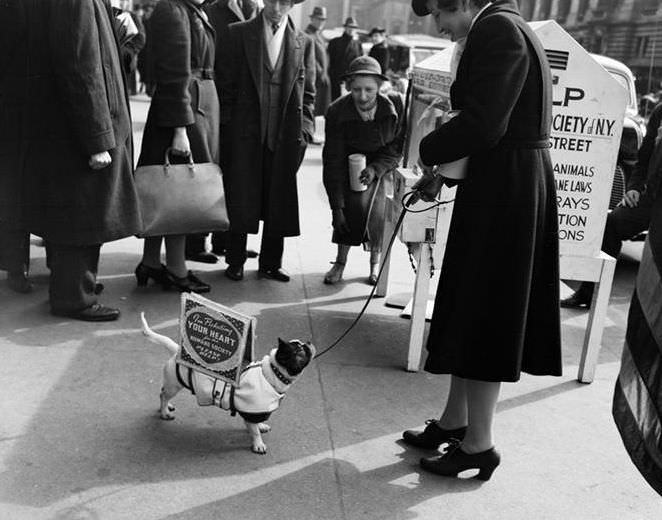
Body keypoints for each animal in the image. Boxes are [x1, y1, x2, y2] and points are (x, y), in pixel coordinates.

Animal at [141, 310, 316, 452]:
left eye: (303, 345)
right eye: (301, 350)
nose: (308, 342)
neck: (273, 372)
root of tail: (176, 350)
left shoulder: (253, 412)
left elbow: (255, 424)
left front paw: (261, 427)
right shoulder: (250, 409)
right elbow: (254, 431)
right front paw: (258, 444)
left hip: (172, 384)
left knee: (163, 392)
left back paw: (167, 407)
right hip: (174, 385)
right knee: (163, 395)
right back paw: (165, 412)